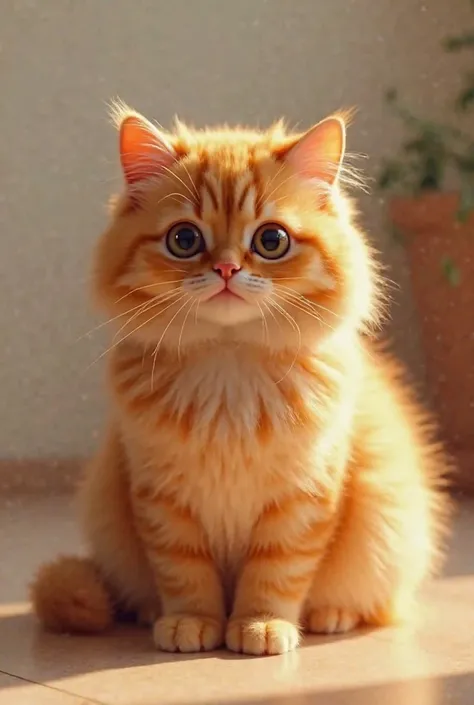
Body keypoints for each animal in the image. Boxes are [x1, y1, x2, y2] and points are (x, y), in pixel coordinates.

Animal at [31, 103, 450, 656]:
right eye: (185, 240)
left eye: (270, 241)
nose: (227, 269)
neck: (229, 368)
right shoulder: (161, 500)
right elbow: (185, 574)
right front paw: (191, 623)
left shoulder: (304, 498)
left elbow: (275, 574)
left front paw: (261, 626)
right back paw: (149, 611)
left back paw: (332, 615)